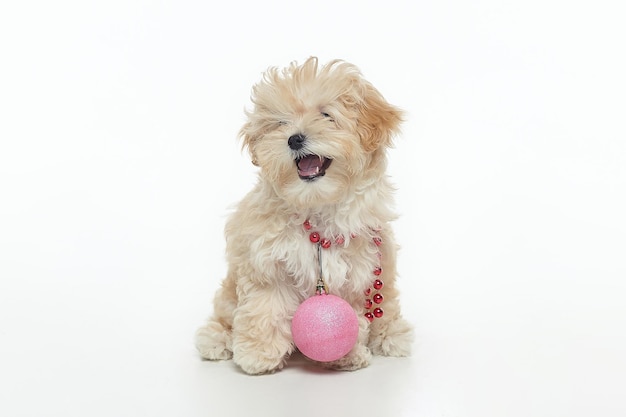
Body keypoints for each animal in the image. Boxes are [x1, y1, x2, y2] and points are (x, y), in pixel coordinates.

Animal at [195, 56, 410, 374]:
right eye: (280, 123)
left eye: (326, 115)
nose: (294, 139)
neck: (316, 205)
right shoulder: (266, 264)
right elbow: (265, 308)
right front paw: (259, 355)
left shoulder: (357, 271)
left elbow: (355, 314)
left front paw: (347, 355)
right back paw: (216, 339)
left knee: (388, 307)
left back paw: (394, 336)